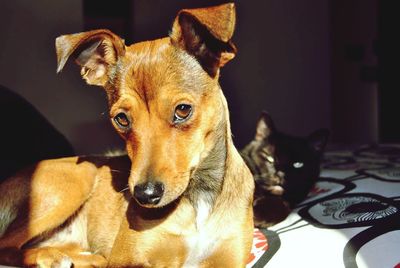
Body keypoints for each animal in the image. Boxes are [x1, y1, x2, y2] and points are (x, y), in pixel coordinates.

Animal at [0, 2, 255, 268]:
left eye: (183, 110)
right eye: (121, 119)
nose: (145, 196)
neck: (200, 195)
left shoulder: (229, 260)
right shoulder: (127, 258)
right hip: (75, 180)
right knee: (6, 246)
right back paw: (50, 257)